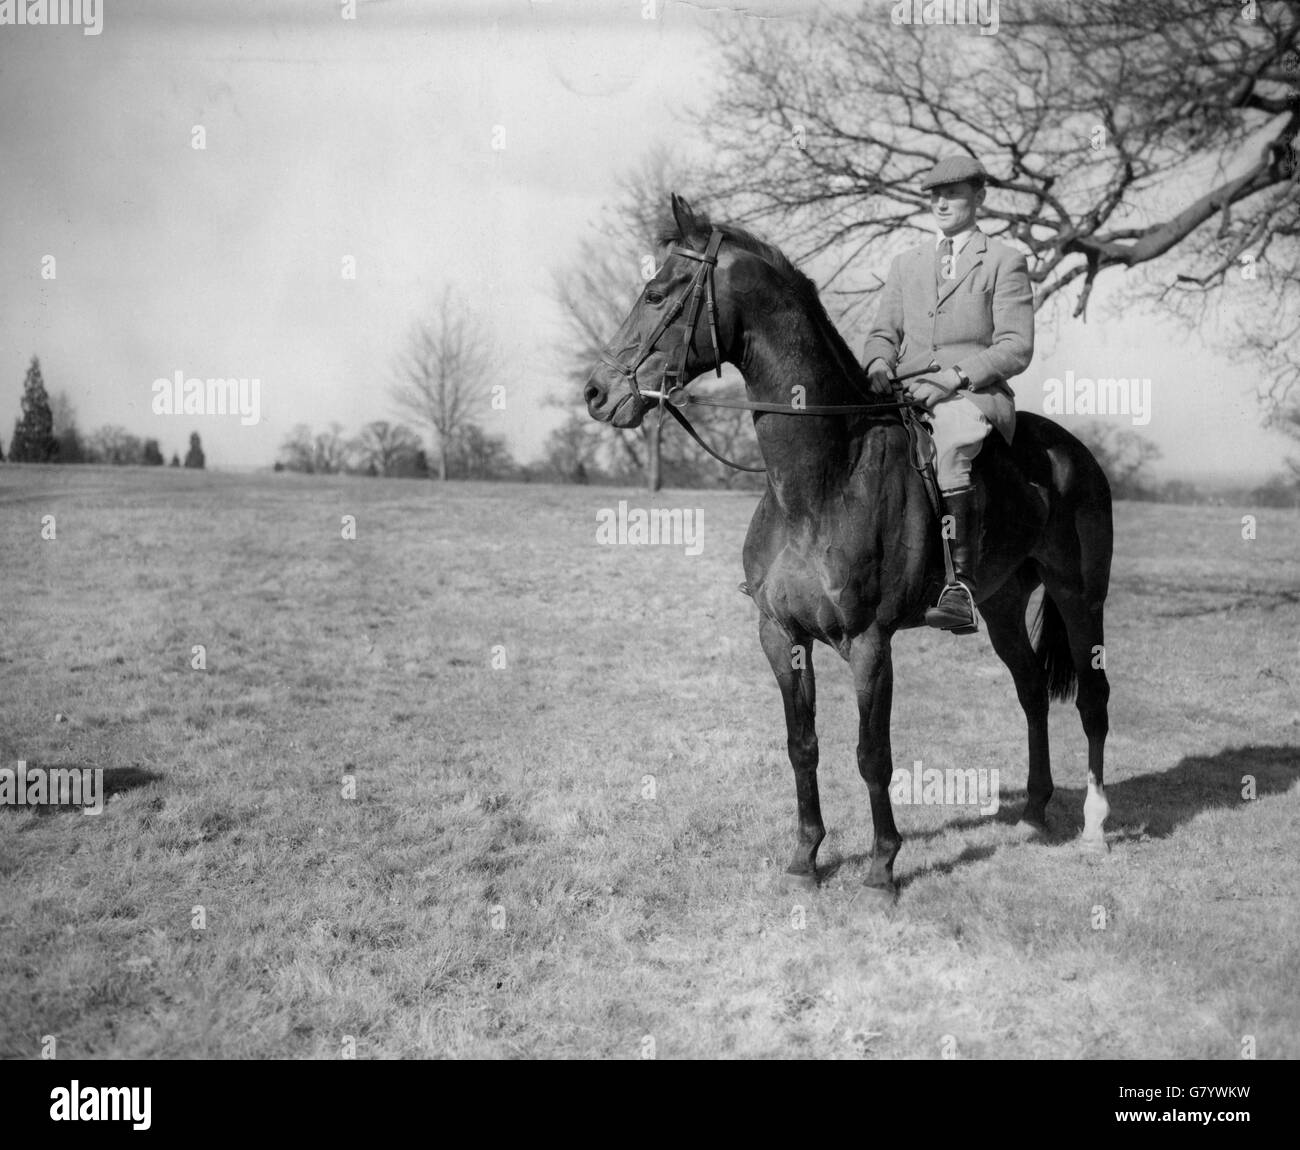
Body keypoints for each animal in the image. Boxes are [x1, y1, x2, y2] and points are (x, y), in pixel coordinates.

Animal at [585, 194, 1112, 904]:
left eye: (656, 292)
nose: (597, 393)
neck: (820, 481)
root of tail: (1073, 452)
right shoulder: (781, 636)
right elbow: (801, 744)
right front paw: (806, 857)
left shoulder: (868, 643)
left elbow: (871, 755)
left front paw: (883, 866)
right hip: (1002, 604)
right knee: (1031, 692)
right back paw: (1033, 811)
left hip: (1080, 599)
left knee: (1092, 699)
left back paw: (1095, 826)